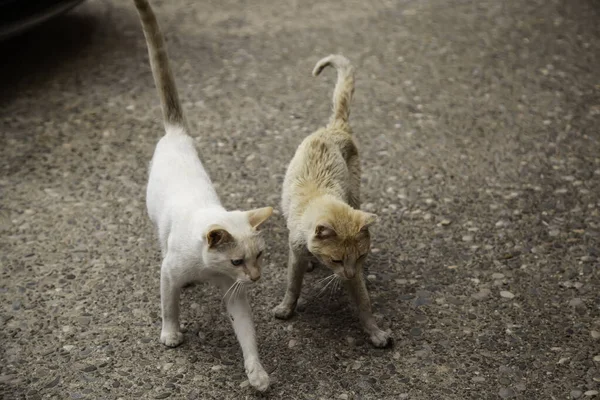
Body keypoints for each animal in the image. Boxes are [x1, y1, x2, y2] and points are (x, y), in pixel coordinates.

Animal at [133, 0, 272, 390]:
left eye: (260, 256)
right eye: (237, 261)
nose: (256, 278)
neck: (210, 269)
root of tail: (176, 134)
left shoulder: (235, 295)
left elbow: (247, 336)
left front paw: (256, 374)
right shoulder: (168, 275)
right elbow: (169, 306)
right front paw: (171, 335)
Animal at [274, 54, 394, 346]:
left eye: (360, 256)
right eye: (336, 260)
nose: (349, 272)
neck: (319, 197)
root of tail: (334, 127)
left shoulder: (355, 275)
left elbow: (364, 303)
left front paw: (375, 332)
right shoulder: (295, 254)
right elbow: (292, 285)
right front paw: (286, 308)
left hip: (356, 193)